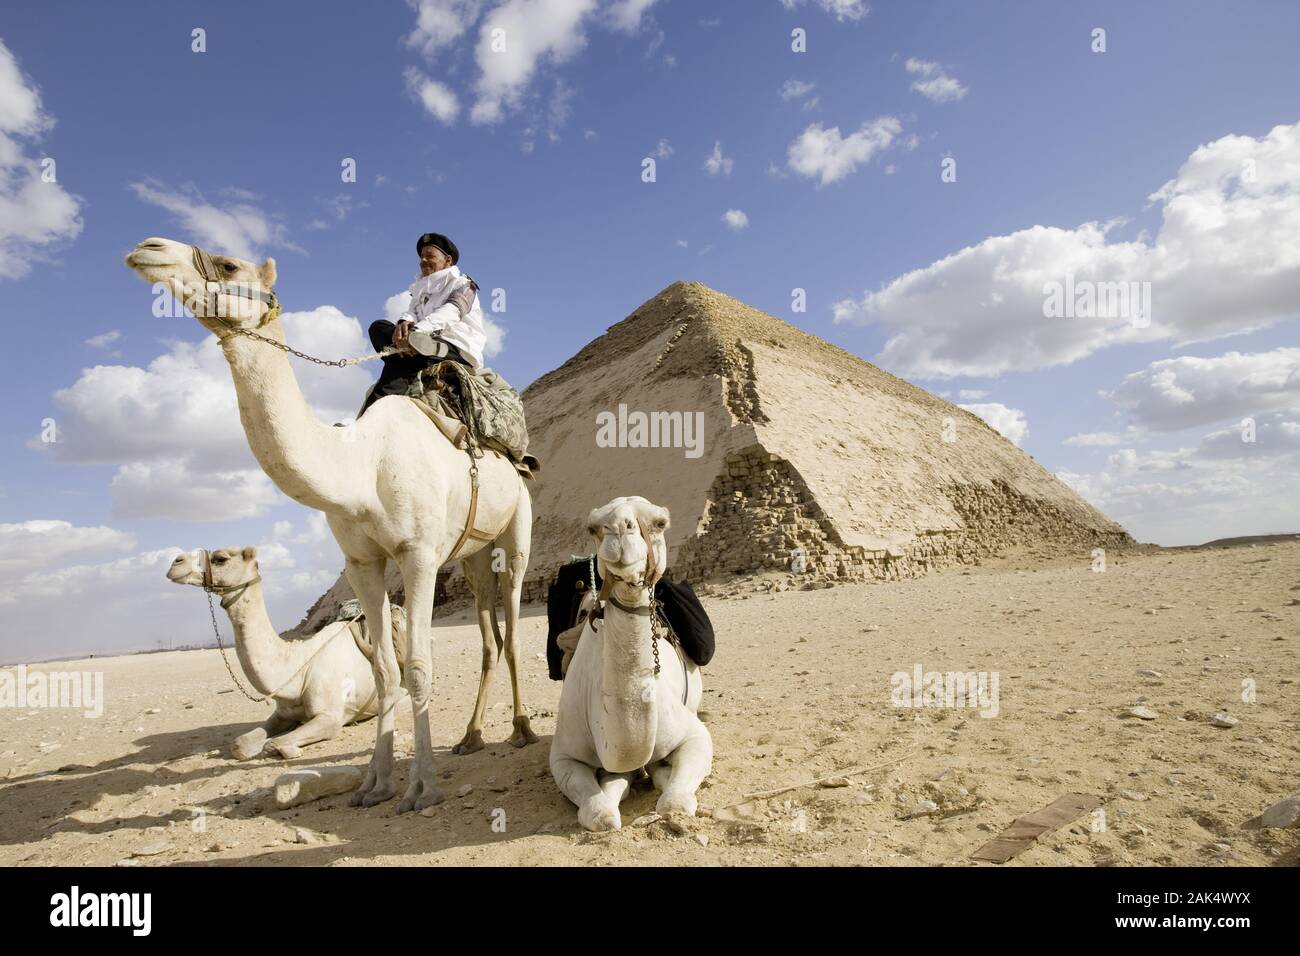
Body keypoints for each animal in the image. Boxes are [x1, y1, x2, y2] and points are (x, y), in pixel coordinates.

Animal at [167, 546, 408, 764]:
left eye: (220, 558)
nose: (175, 563)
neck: (299, 670)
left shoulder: (330, 717)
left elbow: (272, 743)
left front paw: (289, 750)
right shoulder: (282, 714)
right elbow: (239, 744)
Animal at [546, 496, 712, 832]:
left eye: (660, 522)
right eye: (593, 527)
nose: (618, 530)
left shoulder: (696, 736)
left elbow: (674, 802)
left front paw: (663, 776)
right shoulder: (563, 756)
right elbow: (600, 810)